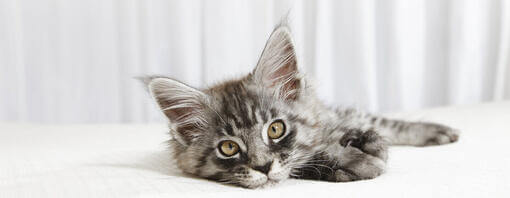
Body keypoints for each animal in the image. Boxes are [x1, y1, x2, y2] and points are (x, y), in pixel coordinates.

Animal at [142, 24, 458, 188]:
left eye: (276, 129)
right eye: (228, 148)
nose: (262, 167)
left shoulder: (334, 113)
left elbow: (382, 123)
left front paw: (433, 131)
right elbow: (309, 159)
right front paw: (356, 160)